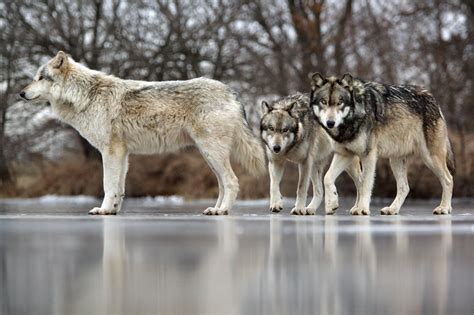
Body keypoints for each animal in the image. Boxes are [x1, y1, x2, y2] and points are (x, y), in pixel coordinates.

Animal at [19, 50, 266, 216]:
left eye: (40, 78)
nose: (21, 93)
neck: (85, 95)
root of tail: (231, 92)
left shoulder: (111, 152)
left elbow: (108, 185)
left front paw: (103, 209)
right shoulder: (122, 154)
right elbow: (119, 188)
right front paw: (113, 210)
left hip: (212, 152)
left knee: (232, 181)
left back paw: (222, 211)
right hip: (209, 155)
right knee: (223, 184)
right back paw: (215, 209)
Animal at [310, 72, 454, 215]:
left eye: (340, 102)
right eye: (323, 102)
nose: (330, 123)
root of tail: (432, 97)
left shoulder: (368, 155)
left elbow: (365, 184)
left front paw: (362, 209)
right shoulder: (345, 154)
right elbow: (327, 178)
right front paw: (332, 204)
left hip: (429, 158)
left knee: (448, 179)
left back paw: (444, 208)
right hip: (395, 161)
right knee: (405, 187)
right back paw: (392, 209)